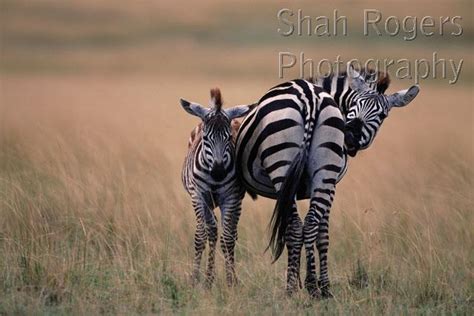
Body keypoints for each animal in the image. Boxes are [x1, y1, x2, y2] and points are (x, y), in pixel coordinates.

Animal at [181, 87, 256, 288]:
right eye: (206, 138)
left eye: (229, 138)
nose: (219, 172)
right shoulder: (198, 195)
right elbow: (201, 236)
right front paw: (195, 279)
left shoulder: (230, 198)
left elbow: (228, 239)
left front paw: (230, 281)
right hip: (207, 201)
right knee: (212, 231)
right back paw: (208, 279)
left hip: (235, 202)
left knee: (228, 233)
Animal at [236, 63, 418, 296]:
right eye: (355, 103)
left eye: (383, 115)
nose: (350, 138)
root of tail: (309, 97)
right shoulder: (329, 186)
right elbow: (318, 233)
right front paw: (319, 285)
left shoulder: (315, 185)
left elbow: (312, 233)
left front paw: (314, 285)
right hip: (305, 171)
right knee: (304, 225)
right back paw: (305, 288)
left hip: (297, 170)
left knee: (301, 225)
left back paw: (302, 287)